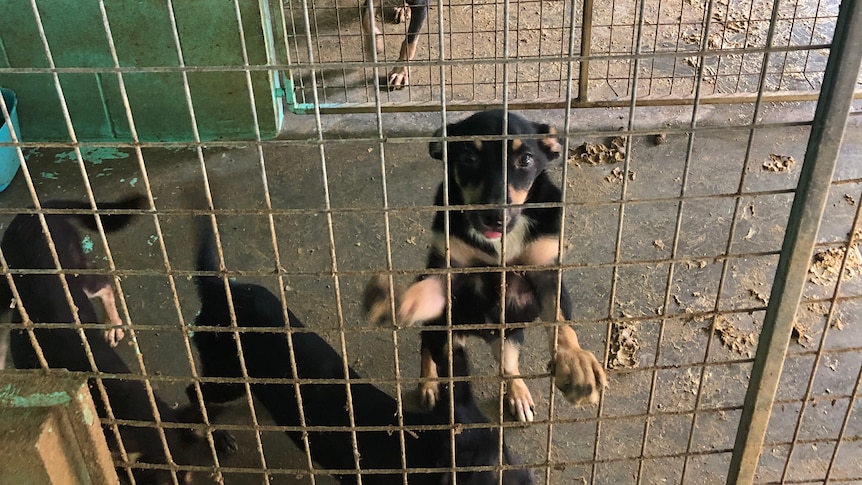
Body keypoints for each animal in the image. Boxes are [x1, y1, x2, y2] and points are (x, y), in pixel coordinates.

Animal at [187, 216, 532, 484]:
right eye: (493, 475)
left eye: (508, 451)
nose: (530, 477)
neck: (417, 447)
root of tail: (218, 288)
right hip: (225, 374)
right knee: (195, 391)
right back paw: (216, 436)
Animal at [364, 108, 608, 420]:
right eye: (469, 158)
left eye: (526, 160)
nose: (494, 217)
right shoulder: (450, 269)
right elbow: (427, 291)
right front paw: (400, 300)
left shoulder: (546, 271)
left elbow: (561, 321)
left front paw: (576, 362)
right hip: (445, 332)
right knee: (428, 346)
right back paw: (428, 383)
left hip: (509, 336)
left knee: (508, 365)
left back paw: (518, 394)